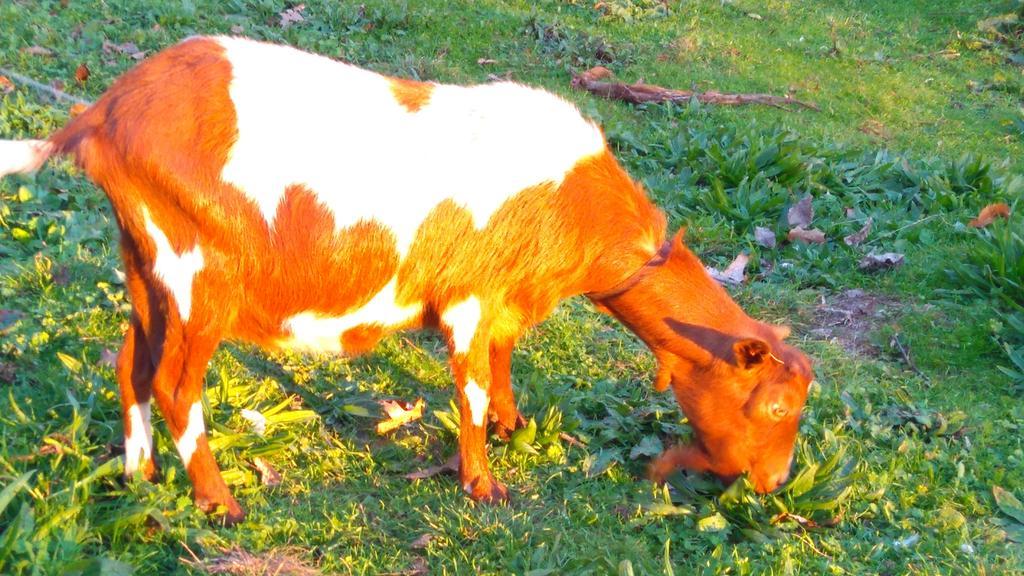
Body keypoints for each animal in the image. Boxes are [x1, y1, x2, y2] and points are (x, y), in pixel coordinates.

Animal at [2, 34, 815, 520]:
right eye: (775, 406)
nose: (774, 484)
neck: (574, 204)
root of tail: (102, 113)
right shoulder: (468, 300)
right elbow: (470, 387)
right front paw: (484, 483)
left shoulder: (501, 304)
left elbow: (501, 362)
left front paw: (514, 426)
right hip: (200, 275)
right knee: (176, 386)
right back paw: (219, 501)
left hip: (144, 262)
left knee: (129, 366)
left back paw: (139, 476)